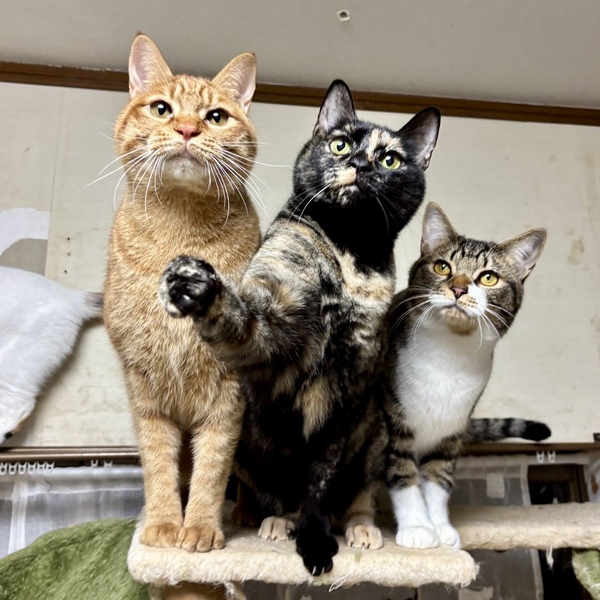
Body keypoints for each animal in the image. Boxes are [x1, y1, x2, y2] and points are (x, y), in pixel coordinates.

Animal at [103, 34, 261, 553]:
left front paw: (201, 528)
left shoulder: (229, 394)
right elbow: (159, 465)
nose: (188, 129)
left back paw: (247, 512)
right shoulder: (144, 390)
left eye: (216, 116)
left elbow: (213, 466)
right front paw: (163, 524)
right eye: (161, 108)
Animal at [157, 79, 441, 575]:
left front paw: (315, 539)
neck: (348, 254)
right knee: (272, 493)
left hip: (376, 432)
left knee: (357, 496)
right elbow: (241, 314)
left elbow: (319, 480)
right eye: (340, 143)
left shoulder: (348, 388)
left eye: (390, 159)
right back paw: (275, 522)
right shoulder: (271, 325)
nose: (359, 164)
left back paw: (361, 529)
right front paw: (197, 286)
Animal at [383, 202, 548, 550]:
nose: (458, 288)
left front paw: (440, 527)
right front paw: (418, 528)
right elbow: (403, 473)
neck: (448, 357)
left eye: (488, 277)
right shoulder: (391, 424)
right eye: (442, 266)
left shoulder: (451, 433)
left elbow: (437, 480)